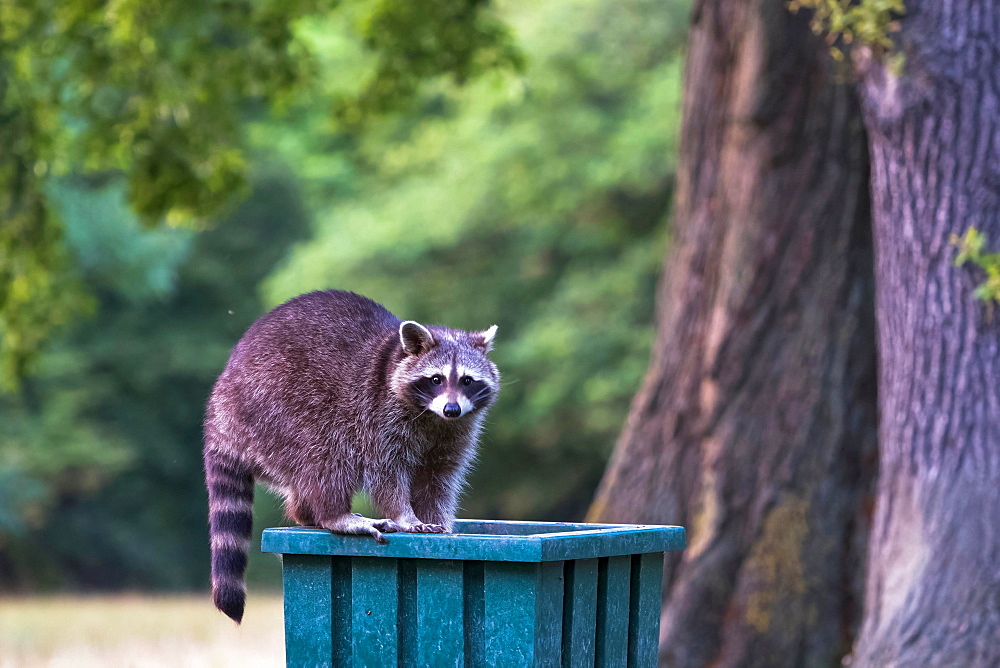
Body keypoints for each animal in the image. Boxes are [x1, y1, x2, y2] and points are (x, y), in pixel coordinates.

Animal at [202, 290, 500, 624]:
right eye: (436, 379)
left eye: (467, 380)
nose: (452, 409)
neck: (433, 417)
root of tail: (222, 397)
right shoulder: (379, 414)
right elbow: (386, 473)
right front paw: (406, 516)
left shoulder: (456, 433)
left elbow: (438, 479)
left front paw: (441, 523)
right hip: (276, 403)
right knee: (327, 451)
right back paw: (335, 516)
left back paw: (306, 513)